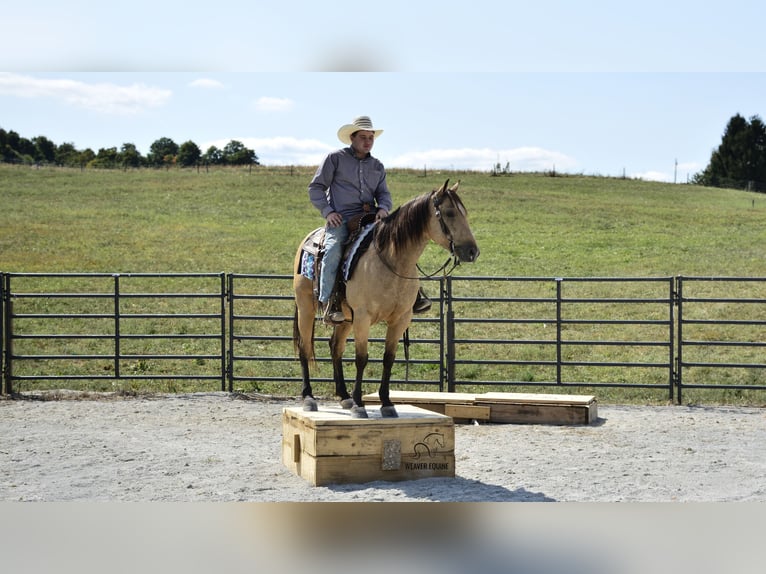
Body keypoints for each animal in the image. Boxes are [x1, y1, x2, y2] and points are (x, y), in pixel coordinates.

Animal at [292, 179, 479, 418]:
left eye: (464, 212)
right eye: (449, 213)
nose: (473, 251)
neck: (391, 262)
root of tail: (309, 239)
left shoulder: (401, 318)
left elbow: (388, 358)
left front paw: (386, 403)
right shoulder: (363, 317)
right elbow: (361, 358)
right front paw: (359, 405)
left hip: (345, 318)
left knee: (335, 346)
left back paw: (344, 397)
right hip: (306, 306)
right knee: (305, 346)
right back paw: (309, 398)